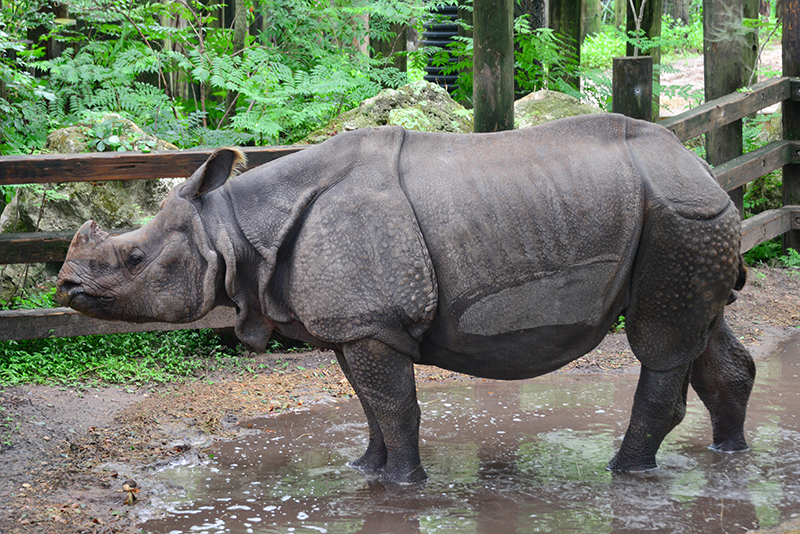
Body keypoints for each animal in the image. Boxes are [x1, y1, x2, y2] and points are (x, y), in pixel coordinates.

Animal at [56, 114, 755, 484]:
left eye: (134, 259)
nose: (66, 287)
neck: (233, 226)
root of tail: (702, 165)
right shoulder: (357, 324)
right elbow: (371, 405)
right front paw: (366, 470)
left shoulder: (372, 322)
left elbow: (395, 406)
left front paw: (403, 484)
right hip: (690, 220)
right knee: (701, 330)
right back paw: (730, 453)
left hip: (677, 218)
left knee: (659, 338)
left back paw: (625, 472)